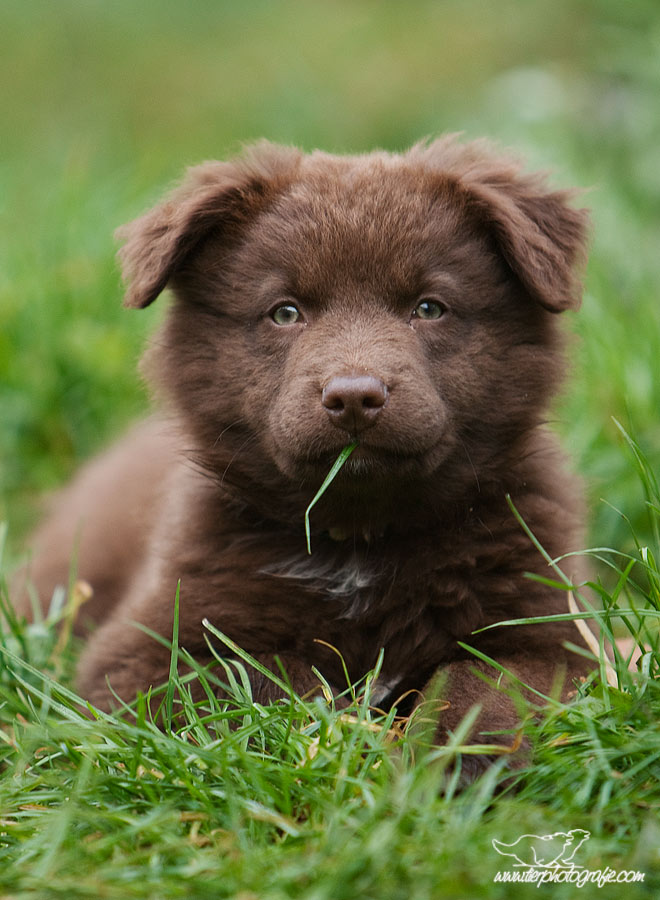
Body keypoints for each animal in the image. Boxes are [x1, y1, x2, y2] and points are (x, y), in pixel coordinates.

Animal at [18, 135, 592, 760]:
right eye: (286, 312)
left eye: (429, 308)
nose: (354, 396)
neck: (360, 546)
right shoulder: (147, 648)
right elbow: (260, 677)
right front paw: (340, 733)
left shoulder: (556, 633)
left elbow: (489, 683)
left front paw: (455, 756)